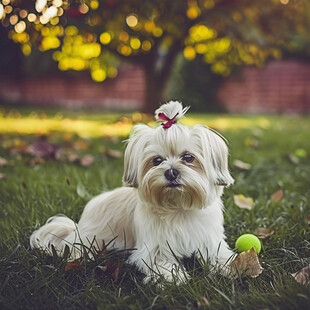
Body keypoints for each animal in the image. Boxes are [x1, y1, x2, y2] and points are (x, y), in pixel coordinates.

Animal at [30, 101, 235, 284]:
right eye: (157, 160)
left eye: (188, 157)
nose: (171, 172)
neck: (178, 208)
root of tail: (78, 226)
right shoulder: (154, 247)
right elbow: (161, 261)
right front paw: (172, 276)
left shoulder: (210, 239)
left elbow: (219, 254)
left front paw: (230, 267)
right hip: (91, 239)